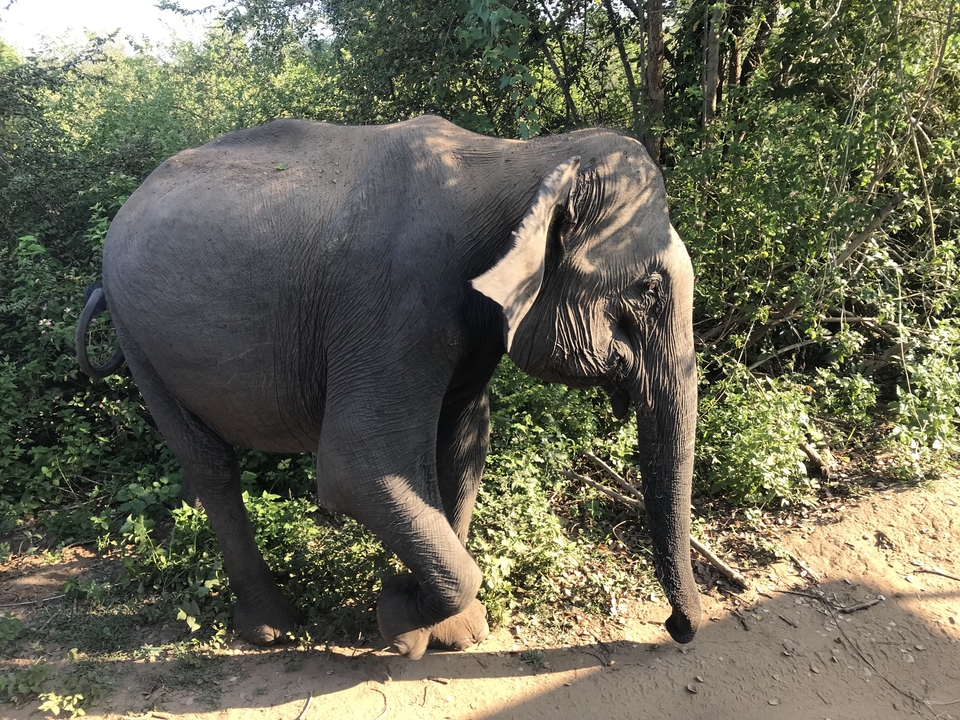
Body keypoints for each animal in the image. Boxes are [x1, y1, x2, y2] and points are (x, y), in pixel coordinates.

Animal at [75, 115, 701, 659]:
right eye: (646, 290)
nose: (676, 628)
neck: (526, 158)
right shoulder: (394, 300)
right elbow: (356, 464)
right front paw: (398, 621)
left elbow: (463, 446)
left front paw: (450, 631)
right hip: (138, 336)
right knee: (211, 463)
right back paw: (270, 629)